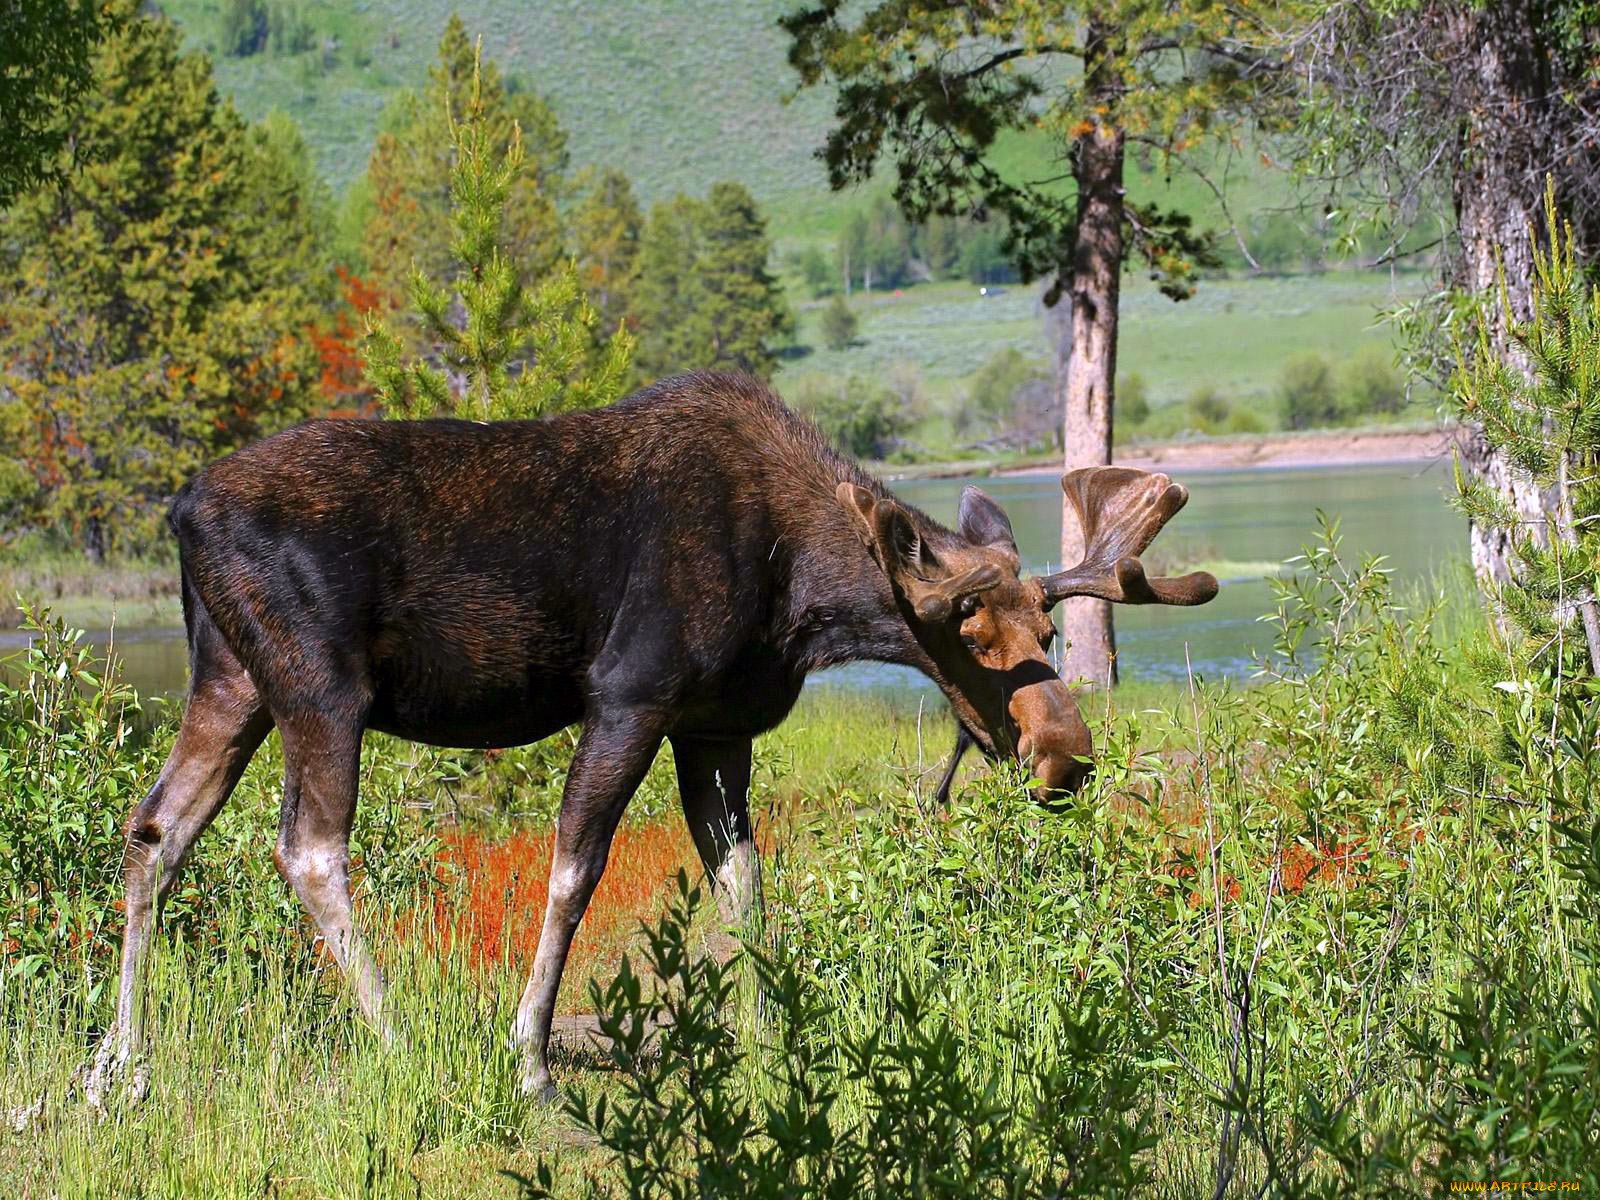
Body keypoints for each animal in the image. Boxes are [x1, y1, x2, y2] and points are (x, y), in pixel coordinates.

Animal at [87, 371, 1209, 1107]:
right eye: (968, 635)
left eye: (1049, 634)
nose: (1066, 757)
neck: (806, 601)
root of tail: (180, 509)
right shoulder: (630, 695)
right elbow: (575, 869)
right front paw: (530, 1056)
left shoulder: (716, 726)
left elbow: (743, 880)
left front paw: (771, 1032)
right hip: (320, 686)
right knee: (309, 848)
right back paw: (396, 1033)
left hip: (230, 681)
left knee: (155, 833)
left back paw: (117, 1066)